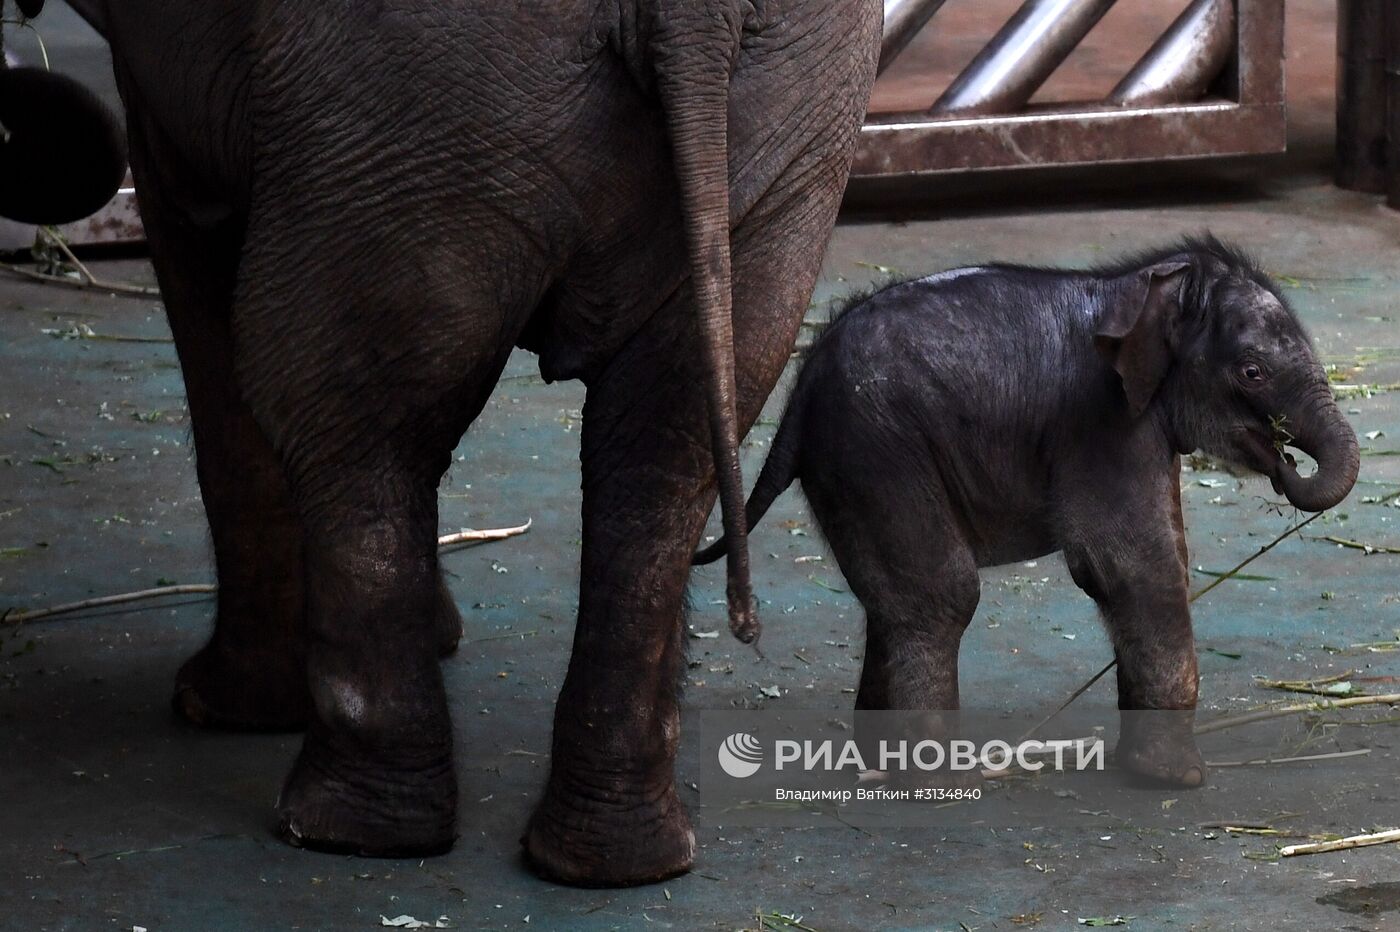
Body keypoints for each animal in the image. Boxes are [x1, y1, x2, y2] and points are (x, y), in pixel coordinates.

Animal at [13, 0, 873, 884]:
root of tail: (695, 17)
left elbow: (194, 229)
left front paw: (224, 711)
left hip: (407, 98)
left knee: (343, 415)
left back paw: (346, 830)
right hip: (783, 116)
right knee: (667, 451)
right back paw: (614, 861)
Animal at [697, 239, 1355, 783]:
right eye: (1253, 372)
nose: (1282, 460)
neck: (1142, 284)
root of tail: (800, 387)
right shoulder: (1101, 422)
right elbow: (1132, 567)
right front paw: (1178, 779)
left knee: (896, 602)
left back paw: (881, 764)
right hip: (876, 449)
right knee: (940, 595)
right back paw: (936, 779)